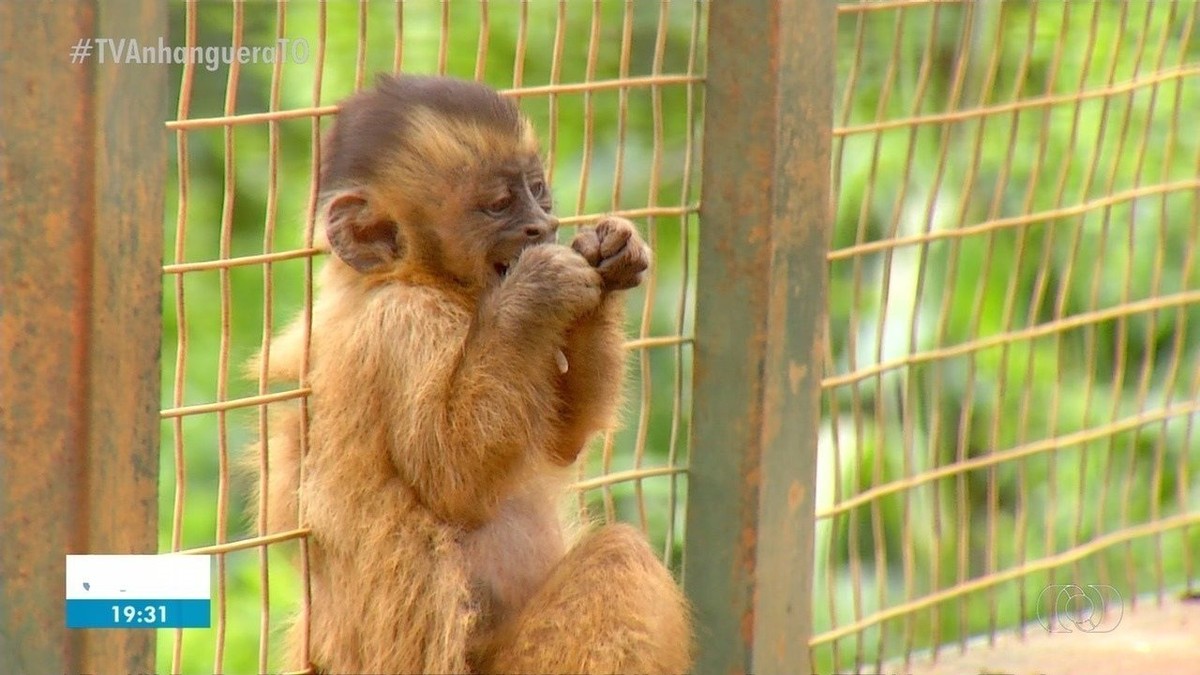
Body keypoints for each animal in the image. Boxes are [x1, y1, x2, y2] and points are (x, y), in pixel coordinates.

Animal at [243, 74, 691, 672]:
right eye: (498, 205)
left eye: (539, 191)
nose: (542, 227)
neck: (422, 281)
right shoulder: (402, 324)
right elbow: (449, 475)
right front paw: (538, 290)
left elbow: (562, 442)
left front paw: (611, 251)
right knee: (619, 558)